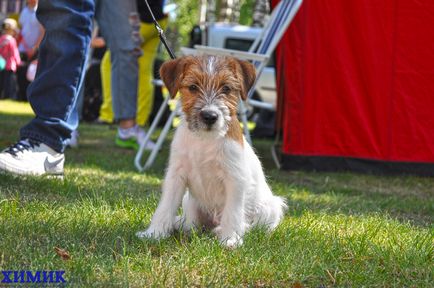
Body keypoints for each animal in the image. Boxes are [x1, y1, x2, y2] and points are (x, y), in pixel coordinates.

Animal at [138, 55, 288, 248]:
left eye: (226, 88)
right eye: (193, 87)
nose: (210, 116)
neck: (205, 140)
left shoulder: (235, 178)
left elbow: (232, 211)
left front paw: (230, 239)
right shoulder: (176, 175)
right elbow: (165, 206)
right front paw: (155, 233)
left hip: (270, 208)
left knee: (256, 225)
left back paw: (230, 230)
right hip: (189, 203)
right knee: (189, 224)